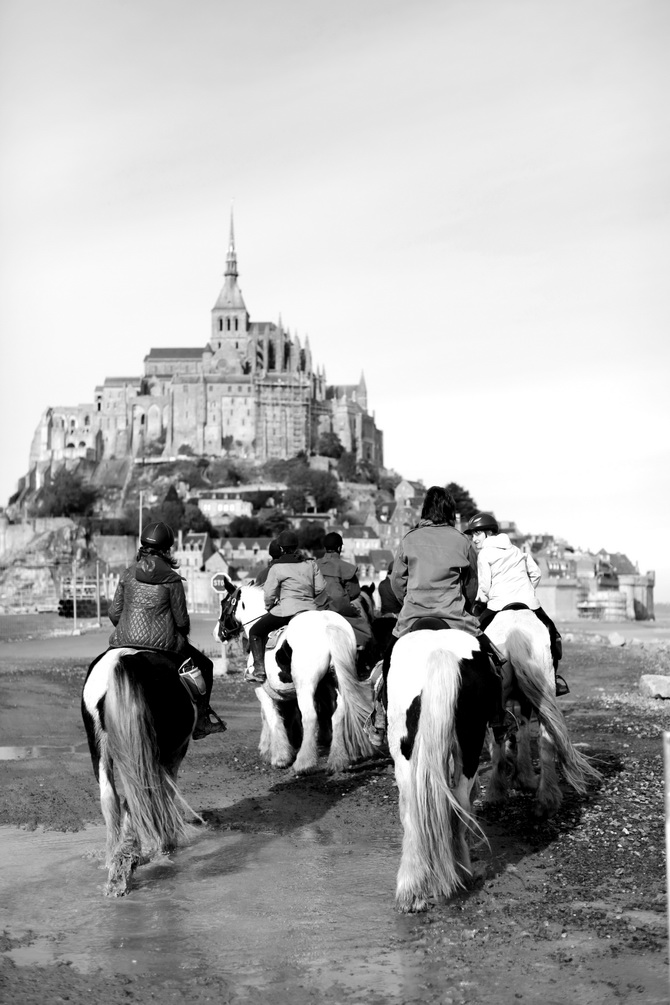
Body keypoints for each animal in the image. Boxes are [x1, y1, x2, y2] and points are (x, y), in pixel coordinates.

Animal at [81, 647, 198, 900]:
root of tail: (124, 661)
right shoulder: (175, 755)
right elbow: (165, 800)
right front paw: (166, 846)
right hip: (160, 753)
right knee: (144, 800)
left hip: (99, 746)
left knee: (112, 799)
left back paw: (114, 863)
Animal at [217, 578, 379, 771]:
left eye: (224, 604)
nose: (219, 633)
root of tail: (327, 624)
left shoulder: (262, 690)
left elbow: (273, 718)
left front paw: (278, 756)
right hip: (333, 682)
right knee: (338, 714)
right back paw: (338, 759)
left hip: (305, 686)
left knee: (310, 716)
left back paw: (303, 763)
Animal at [387, 631, 498, 916]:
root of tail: (440, 653)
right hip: (470, 747)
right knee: (458, 807)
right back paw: (458, 874)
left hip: (407, 757)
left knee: (413, 816)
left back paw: (414, 889)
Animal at [484, 611, 598, 816]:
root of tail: (515, 635)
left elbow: (519, 733)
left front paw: (522, 777)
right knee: (544, 739)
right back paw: (546, 800)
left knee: (500, 740)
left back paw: (497, 793)